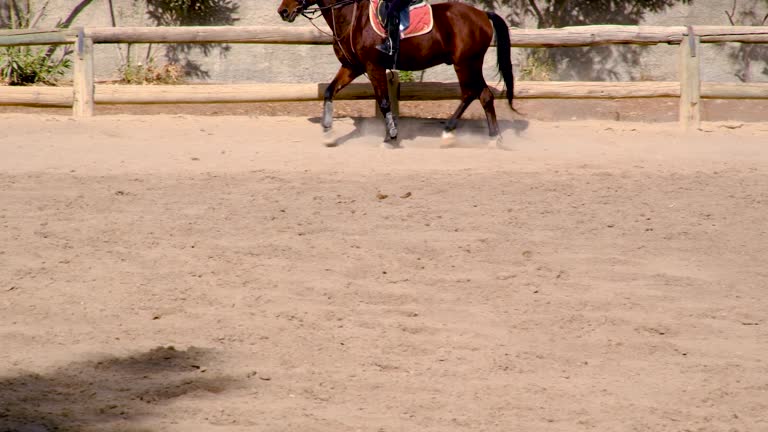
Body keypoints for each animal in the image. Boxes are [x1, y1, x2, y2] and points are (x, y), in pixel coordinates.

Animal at [276, 0, 516, 148]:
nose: (283, 11)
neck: (353, 17)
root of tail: (482, 14)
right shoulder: (352, 67)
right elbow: (329, 91)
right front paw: (327, 132)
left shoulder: (374, 67)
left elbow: (384, 103)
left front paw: (390, 137)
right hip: (472, 64)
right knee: (484, 95)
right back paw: (494, 138)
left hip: (465, 64)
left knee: (469, 94)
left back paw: (448, 133)